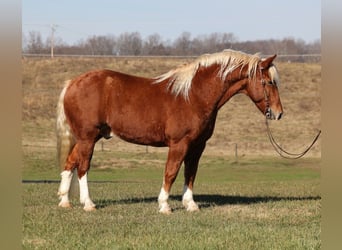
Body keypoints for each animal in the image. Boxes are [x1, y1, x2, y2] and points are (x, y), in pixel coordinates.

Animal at [56, 49, 282, 214]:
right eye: (269, 82)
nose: (278, 113)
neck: (193, 95)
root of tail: (72, 84)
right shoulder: (179, 144)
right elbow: (171, 172)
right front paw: (164, 205)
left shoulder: (197, 146)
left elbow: (190, 173)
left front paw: (190, 204)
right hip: (88, 138)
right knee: (83, 167)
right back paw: (88, 203)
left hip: (84, 139)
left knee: (70, 163)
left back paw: (65, 201)